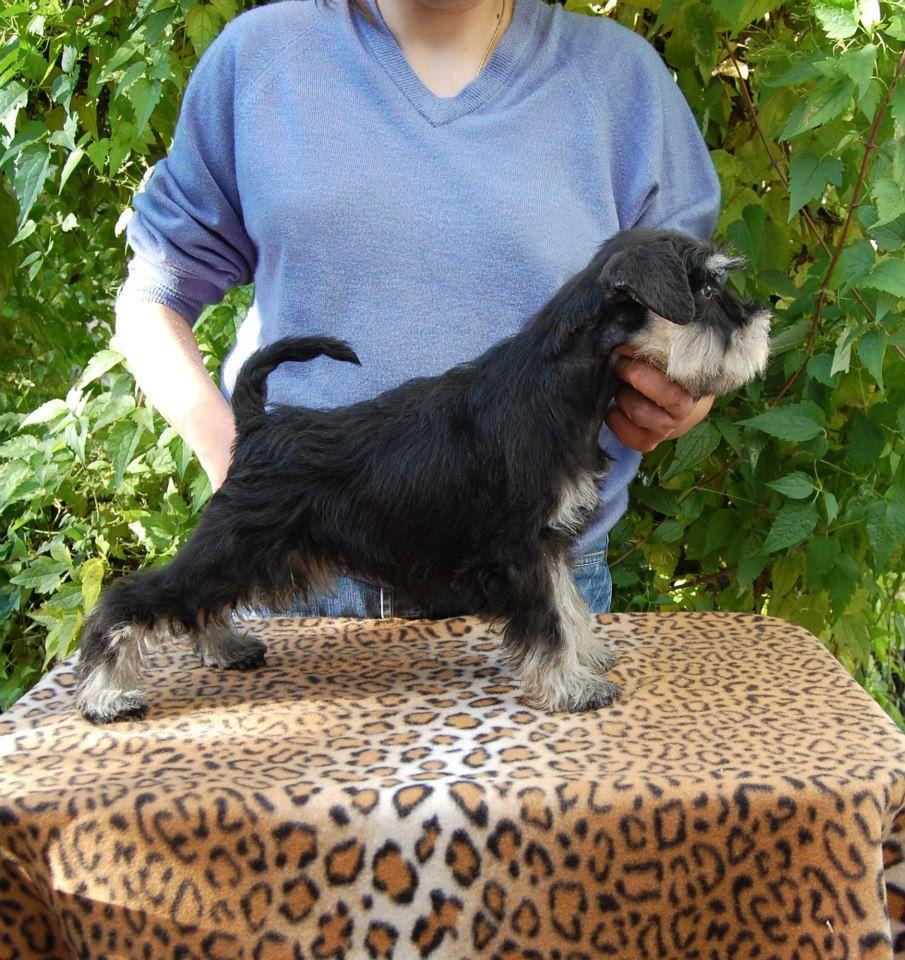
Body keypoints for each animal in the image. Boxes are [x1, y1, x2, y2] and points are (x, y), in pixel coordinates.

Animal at [75, 228, 771, 723]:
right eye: (706, 290)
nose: (761, 319)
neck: (559, 388)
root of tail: (258, 427)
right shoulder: (521, 550)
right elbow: (548, 622)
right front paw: (571, 687)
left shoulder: (547, 545)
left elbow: (569, 606)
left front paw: (587, 656)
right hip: (237, 544)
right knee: (132, 598)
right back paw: (108, 694)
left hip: (249, 553)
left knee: (196, 603)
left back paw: (225, 647)